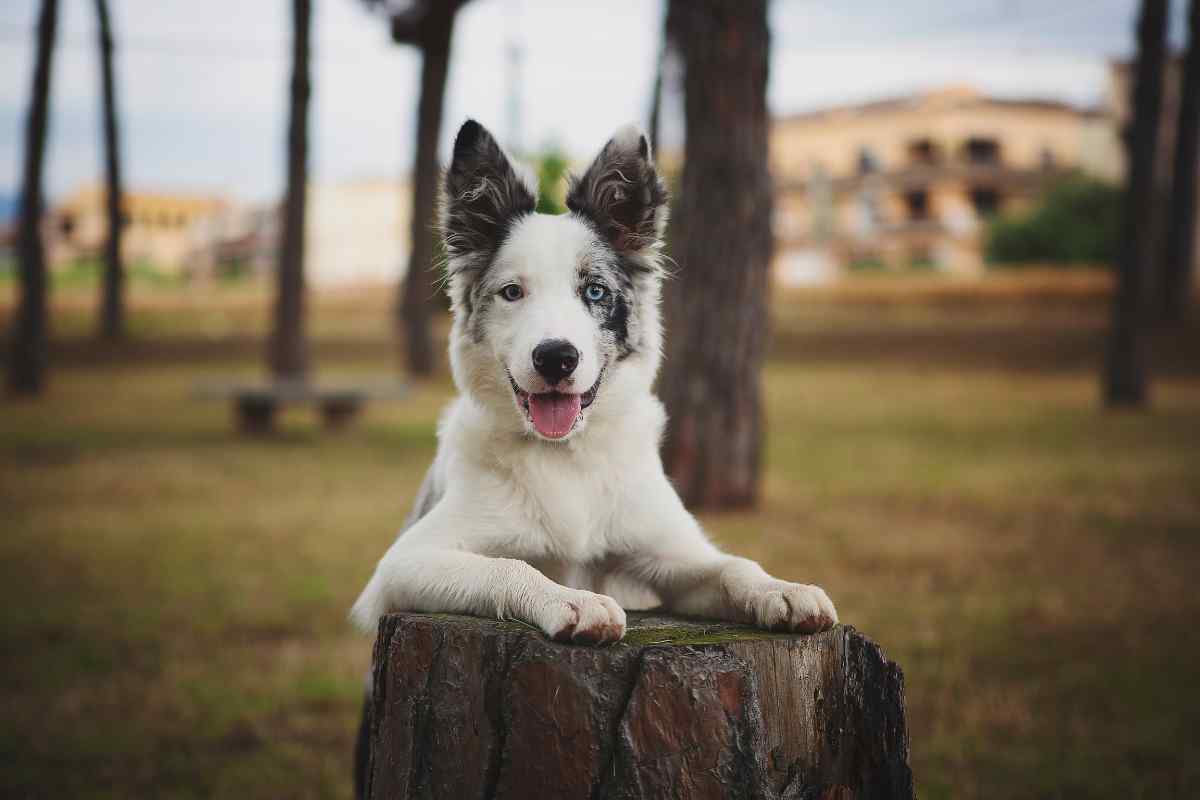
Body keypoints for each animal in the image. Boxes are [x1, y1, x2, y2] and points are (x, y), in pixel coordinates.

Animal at [348, 117, 835, 642]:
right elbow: (510, 566)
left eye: (595, 291)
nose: (556, 358)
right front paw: (572, 600)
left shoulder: (670, 552)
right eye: (512, 292)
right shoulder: (402, 563)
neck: (565, 458)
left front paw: (782, 590)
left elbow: (732, 565)